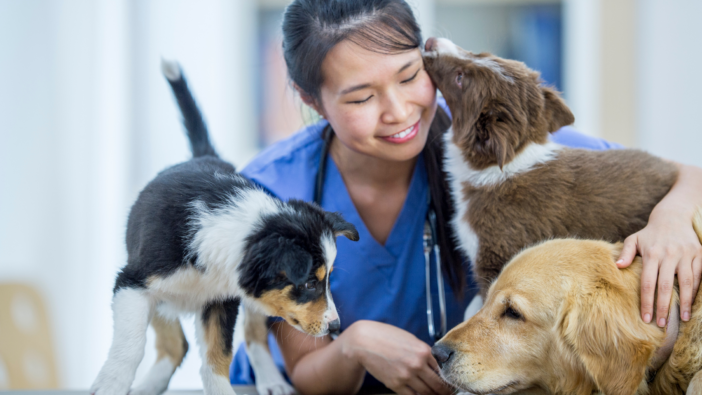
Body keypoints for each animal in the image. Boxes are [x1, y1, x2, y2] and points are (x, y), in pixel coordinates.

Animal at [89, 61, 358, 395]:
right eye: (310, 283)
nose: (336, 327)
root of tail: (204, 155)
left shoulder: (220, 301)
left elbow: (218, 355)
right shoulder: (132, 282)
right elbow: (131, 345)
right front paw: (111, 384)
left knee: (253, 337)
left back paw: (273, 382)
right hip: (159, 297)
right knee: (175, 344)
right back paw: (148, 386)